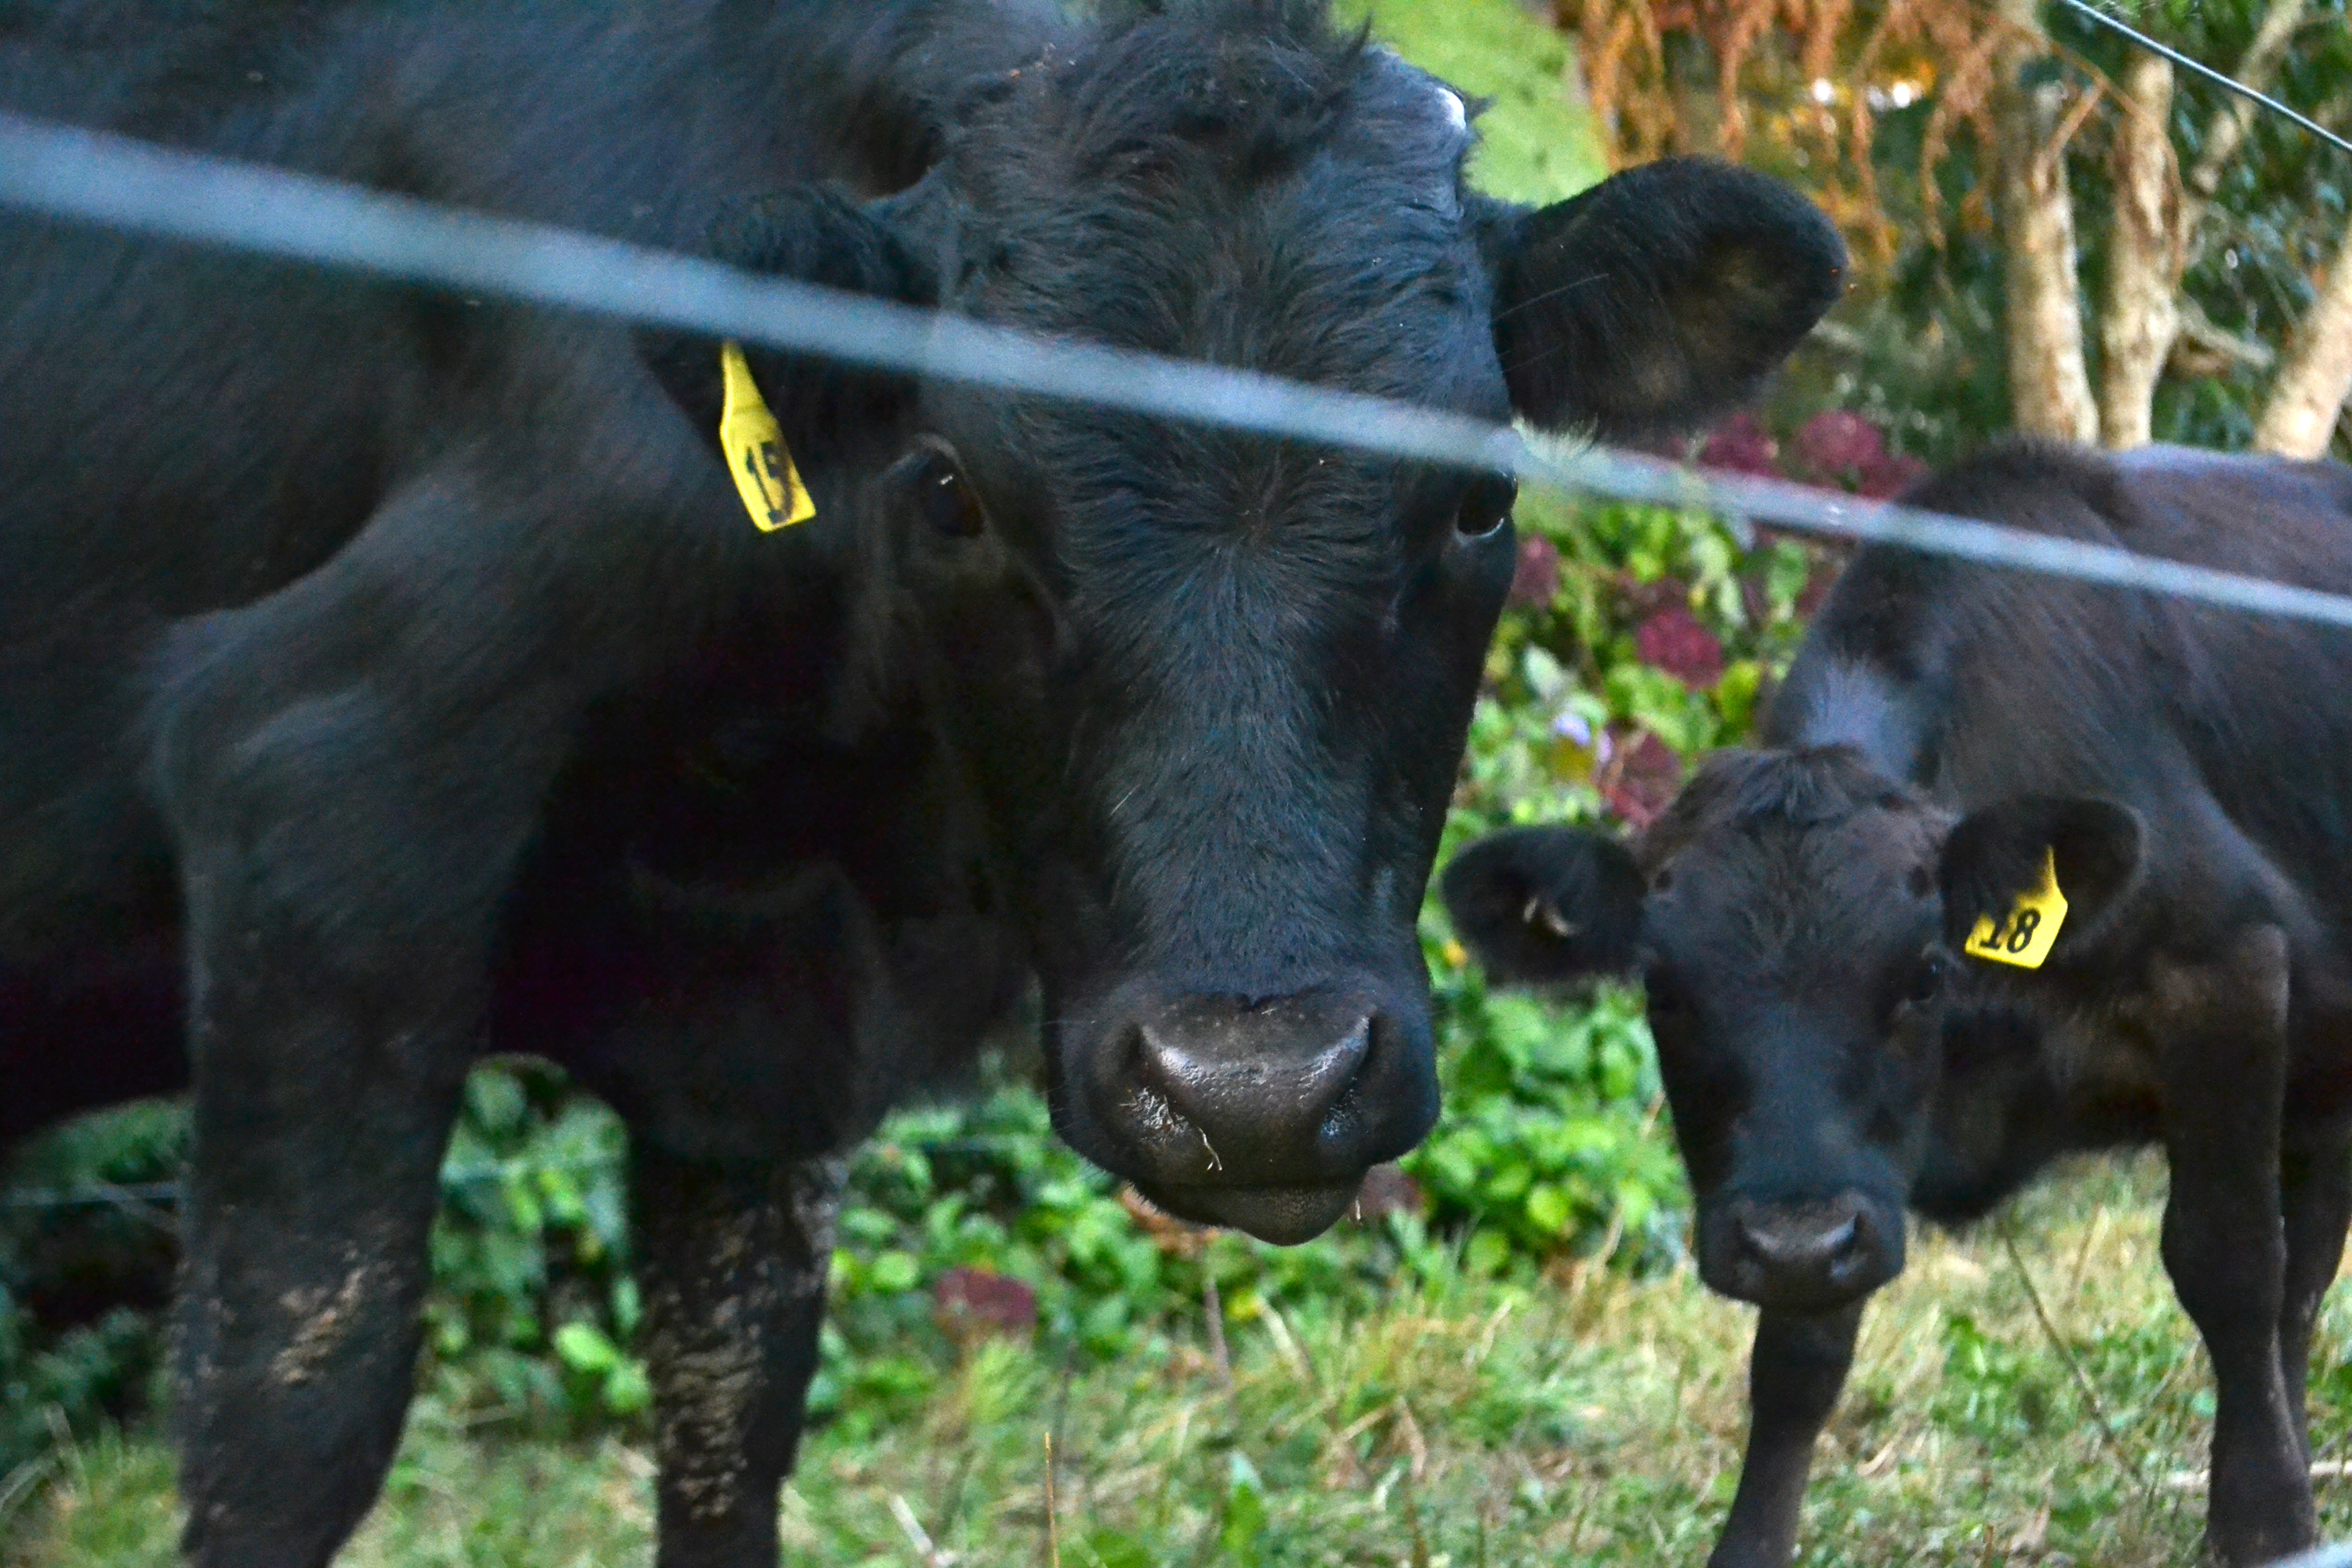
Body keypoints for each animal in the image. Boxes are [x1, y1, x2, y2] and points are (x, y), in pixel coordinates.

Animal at [0, 0, 1844, 1561]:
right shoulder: (324, 780)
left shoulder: (754, 1035)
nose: (1254, 1087)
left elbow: (733, 1419)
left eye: (1477, 495)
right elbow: (294, 1410)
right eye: (952, 485)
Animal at [1439, 441, 2352, 1568]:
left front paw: (2270, 1522)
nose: (1793, 1238)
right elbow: (1800, 1351)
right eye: (1663, 987)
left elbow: (2230, 1262)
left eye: (1921, 972)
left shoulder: (2226, 969)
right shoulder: (1829, 1179)